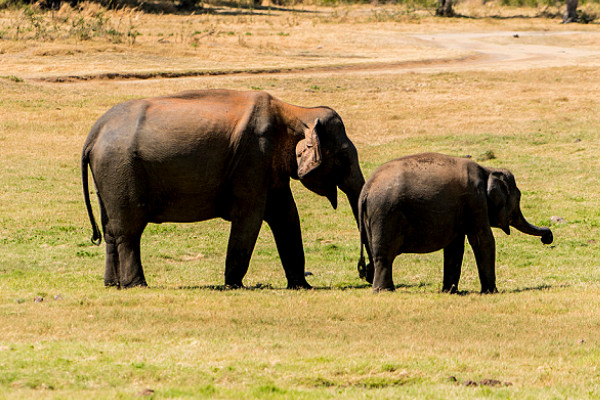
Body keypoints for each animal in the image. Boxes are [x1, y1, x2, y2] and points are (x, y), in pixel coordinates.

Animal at [82, 89, 366, 290]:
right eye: (343, 156)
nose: (364, 271)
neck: (295, 111)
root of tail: (93, 134)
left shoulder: (268, 168)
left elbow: (286, 216)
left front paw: (302, 286)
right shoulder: (254, 158)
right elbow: (250, 217)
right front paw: (234, 285)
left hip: (108, 175)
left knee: (111, 230)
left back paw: (113, 285)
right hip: (120, 169)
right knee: (129, 231)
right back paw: (136, 285)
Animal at [356, 153, 552, 294]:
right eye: (518, 198)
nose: (547, 237)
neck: (487, 170)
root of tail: (366, 189)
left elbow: (455, 246)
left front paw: (450, 291)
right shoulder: (475, 201)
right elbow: (483, 240)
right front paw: (492, 292)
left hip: (372, 218)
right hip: (385, 215)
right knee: (384, 255)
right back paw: (384, 291)